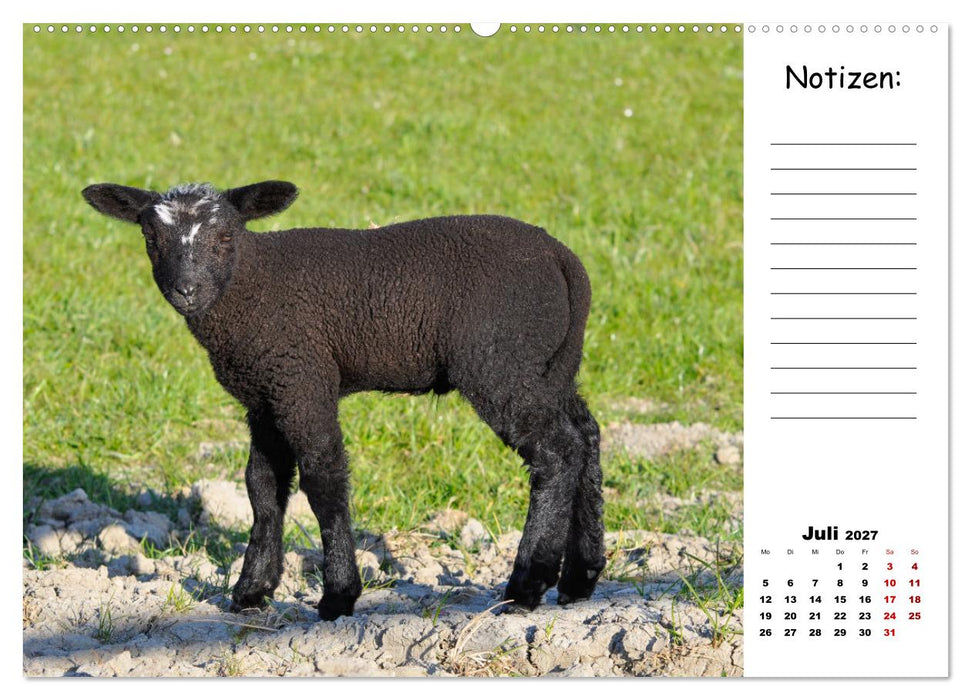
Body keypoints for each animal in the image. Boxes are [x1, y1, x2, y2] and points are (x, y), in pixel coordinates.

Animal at [81, 180, 606, 620]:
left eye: (225, 237)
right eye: (151, 238)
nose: (185, 290)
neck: (252, 286)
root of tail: (564, 260)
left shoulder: (302, 379)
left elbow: (323, 479)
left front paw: (337, 595)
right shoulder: (265, 397)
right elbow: (263, 487)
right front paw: (252, 590)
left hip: (499, 360)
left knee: (556, 451)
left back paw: (526, 585)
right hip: (551, 365)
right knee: (586, 436)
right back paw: (580, 578)